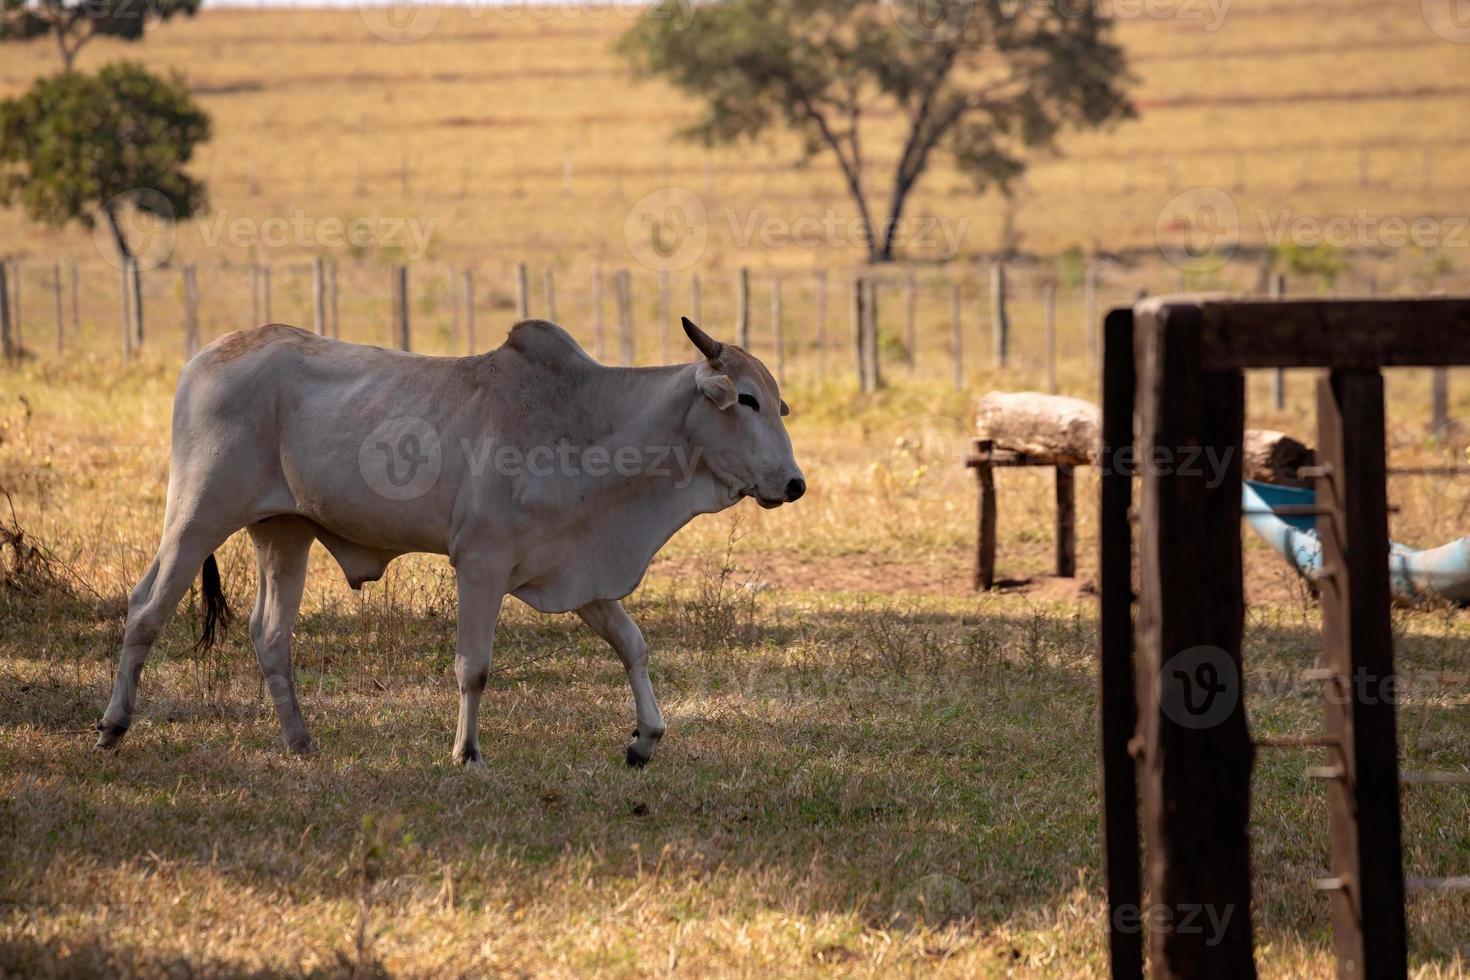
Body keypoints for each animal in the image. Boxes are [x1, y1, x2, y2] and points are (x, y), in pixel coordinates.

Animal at [97, 315, 805, 764]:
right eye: (745, 400)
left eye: (776, 401)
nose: (794, 483)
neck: (587, 423)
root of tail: (204, 358)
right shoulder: (481, 563)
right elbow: (475, 666)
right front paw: (466, 752)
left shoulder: (575, 573)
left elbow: (633, 645)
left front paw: (645, 738)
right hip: (196, 515)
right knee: (146, 608)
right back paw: (111, 726)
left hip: (283, 532)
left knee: (270, 634)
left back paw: (301, 744)